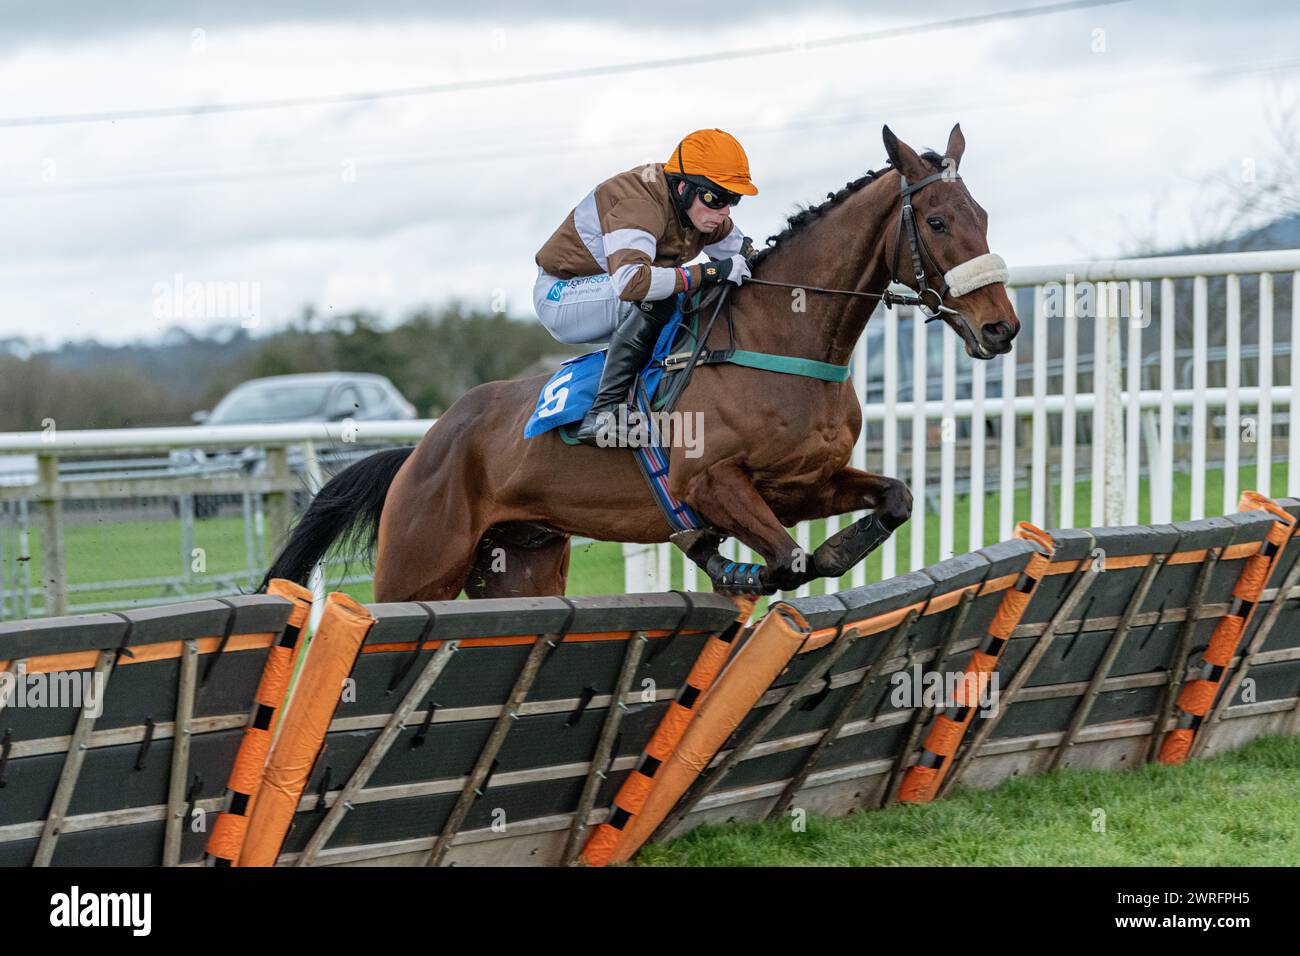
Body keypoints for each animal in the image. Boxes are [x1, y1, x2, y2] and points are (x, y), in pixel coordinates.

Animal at [261, 120, 1013, 598]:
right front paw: (746, 568)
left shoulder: (803, 486)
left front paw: (830, 549)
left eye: (984, 215)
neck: (785, 340)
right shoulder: (710, 484)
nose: (1001, 328)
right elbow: (790, 560)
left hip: (519, 566)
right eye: (938, 221)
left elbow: (893, 499)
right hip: (418, 566)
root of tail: (422, 448)